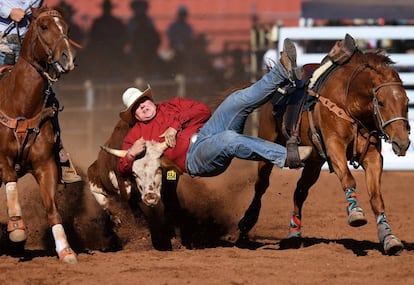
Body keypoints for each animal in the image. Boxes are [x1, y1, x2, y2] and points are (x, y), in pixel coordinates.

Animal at [0, 6, 79, 262]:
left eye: (67, 29)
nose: (68, 58)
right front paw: (17, 228)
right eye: (44, 26)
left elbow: (52, 209)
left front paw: (66, 251)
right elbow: (11, 181)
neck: (20, 104)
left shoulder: (45, 165)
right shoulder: (2, 160)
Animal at [236, 49, 410, 255]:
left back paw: (294, 233)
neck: (349, 101)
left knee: (300, 191)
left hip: (314, 162)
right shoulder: (334, 146)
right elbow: (348, 178)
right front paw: (356, 213)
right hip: (267, 143)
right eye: (381, 103)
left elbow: (376, 198)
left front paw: (389, 237)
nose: (402, 143)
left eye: (407, 102)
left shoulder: (372, 156)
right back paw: (246, 224)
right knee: (261, 185)